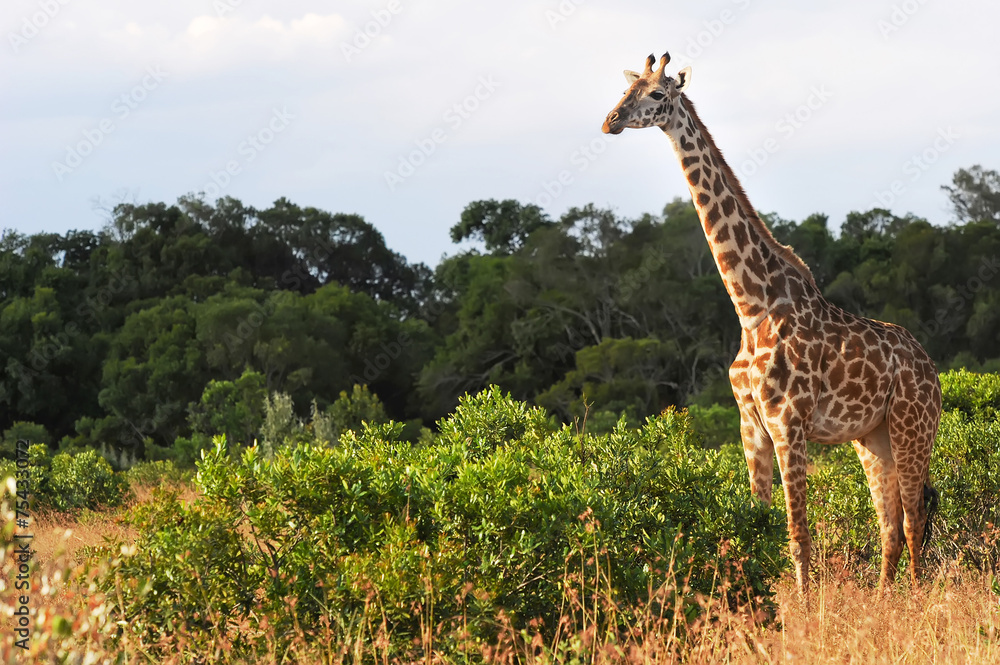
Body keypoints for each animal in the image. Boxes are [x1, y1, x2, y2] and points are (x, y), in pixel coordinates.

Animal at [602, 52, 942, 595]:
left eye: (657, 94)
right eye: (626, 90)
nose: (610, 120)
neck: (751, 305)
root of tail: (933, 370)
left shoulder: (788, 422)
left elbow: (797, 533)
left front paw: (800, 609)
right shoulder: (750, 424)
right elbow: (756, 527)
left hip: (914, 427)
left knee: (912, 517)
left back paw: (912, 600)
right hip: (873, 438)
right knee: (889, 522)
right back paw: (887, 598)